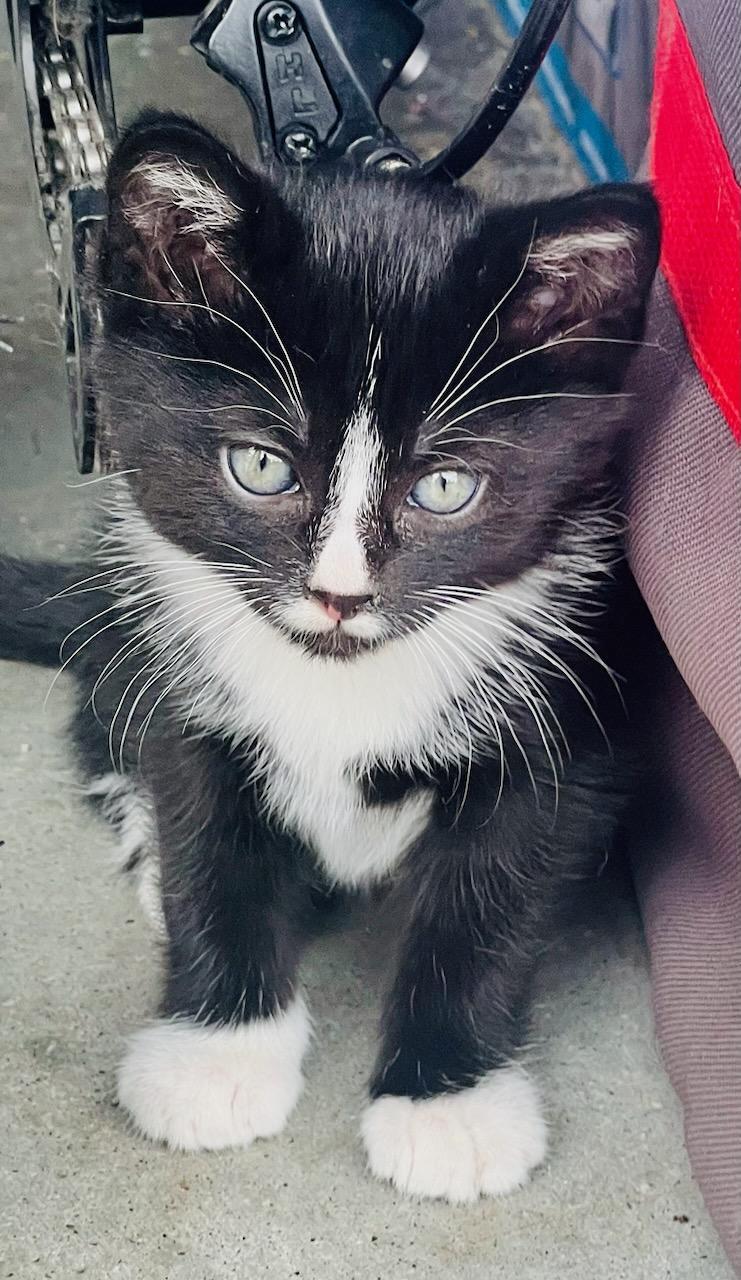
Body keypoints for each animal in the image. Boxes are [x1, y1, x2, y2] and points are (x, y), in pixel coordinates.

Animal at [0, 115, 660, 1203]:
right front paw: (216, 1050)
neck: (338, 680)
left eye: (444, 487)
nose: (339, 596)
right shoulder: (182, 680)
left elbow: (493, 892)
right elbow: (209, 838)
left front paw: (447, 1099)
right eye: (261, 466)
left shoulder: (572, 698)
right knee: (101, 706)